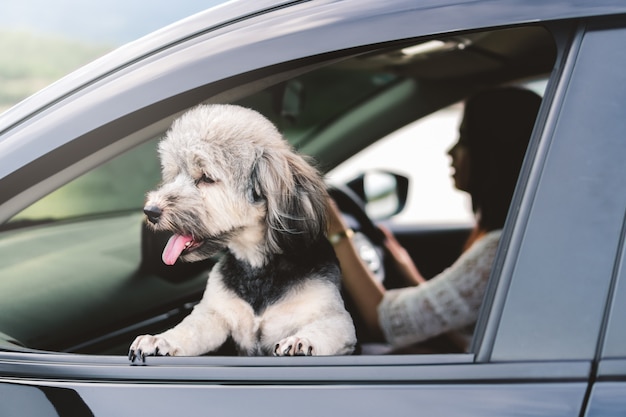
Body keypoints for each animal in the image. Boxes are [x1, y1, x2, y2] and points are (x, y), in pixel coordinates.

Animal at [129, 102, 354, 360]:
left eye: (206, 178)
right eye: (174, 175)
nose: (151, 211)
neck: (256, 266)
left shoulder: (336, 319)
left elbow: (326, 329)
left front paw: (301, 341)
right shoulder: (214, 315)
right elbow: (189, 331)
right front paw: (160, 339)